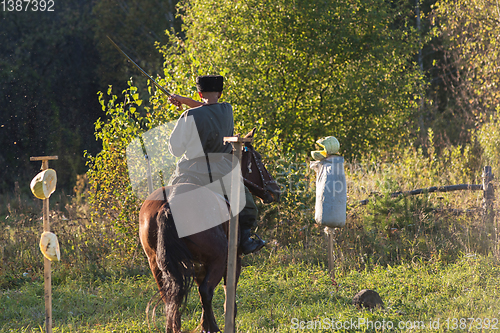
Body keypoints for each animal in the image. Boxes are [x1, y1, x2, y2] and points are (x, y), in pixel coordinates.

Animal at [139, 129, 280, 332]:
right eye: (258, 158)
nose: (275, 190)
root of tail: (168, 204)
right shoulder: (232, 259)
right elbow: (227, 292)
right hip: (219, 257)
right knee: (206, 291)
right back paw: (213, 327)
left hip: (155, 263)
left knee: (170, 297)